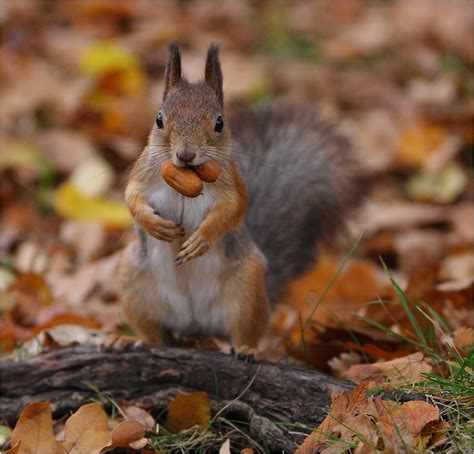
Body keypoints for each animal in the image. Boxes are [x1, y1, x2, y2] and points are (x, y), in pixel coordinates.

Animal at [119, 44, 362, 350]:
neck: (189, 177)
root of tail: (195, 325)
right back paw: (131, 340)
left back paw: (247, 350)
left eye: (220, 123)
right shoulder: (143, 174)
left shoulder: (233, 183)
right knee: (157, 335)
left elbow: (233, 209)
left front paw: (202, 238)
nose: (185, 155)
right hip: (133, 281)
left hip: (248, 288)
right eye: (159, 119)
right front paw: (154, 225)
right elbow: (131, 197)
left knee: (245, 332)